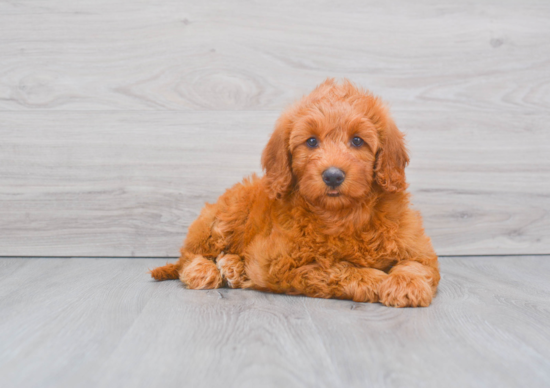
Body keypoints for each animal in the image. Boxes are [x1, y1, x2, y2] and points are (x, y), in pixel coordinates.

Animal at [152, 79, 444, 310]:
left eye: (357, 140)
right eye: (312, 141)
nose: (333, 175)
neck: (341, 214)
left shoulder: (416, 245)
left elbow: (417, 264)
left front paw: (406, 285)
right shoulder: (279, 264)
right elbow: (334, 268)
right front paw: (376, 279)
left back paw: (232, 267)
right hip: (224, 217)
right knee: (187, 257)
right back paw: (205, 271)